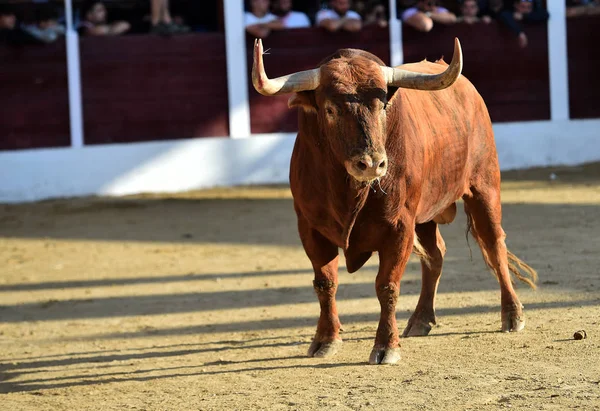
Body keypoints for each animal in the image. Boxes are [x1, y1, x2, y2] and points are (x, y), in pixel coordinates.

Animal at [251, 38, 536, 366]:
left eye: (383, 105)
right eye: (330, 109)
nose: (372, 164)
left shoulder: (399, 226)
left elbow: (387, 285)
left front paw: (386, 346)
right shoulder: (310, 227)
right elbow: (325, 282)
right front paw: (325, 339)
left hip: (484, 187)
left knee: (493, 243)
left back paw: (512, 314)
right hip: (426, 215)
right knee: (435, 255)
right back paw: (421, 319)